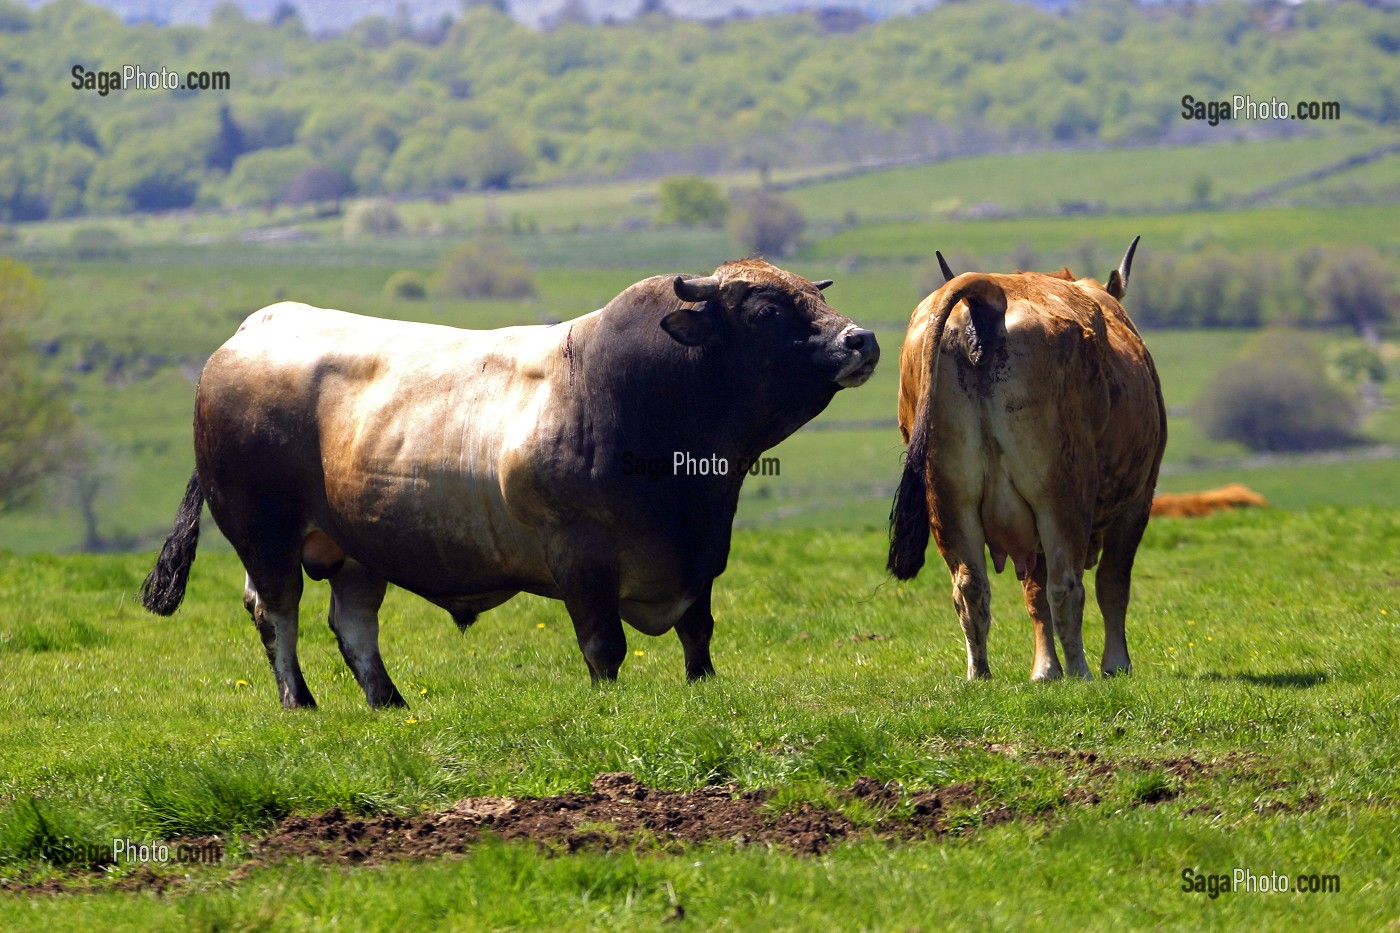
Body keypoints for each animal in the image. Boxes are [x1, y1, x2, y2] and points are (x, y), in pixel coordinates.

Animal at [139, 257, 873, 708]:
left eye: (817, 295)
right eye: (767, 309)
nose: (860, 339)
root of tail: (253, 328)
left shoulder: (702, 555)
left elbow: (699, 633)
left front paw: (703, 689)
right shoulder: (581, 556)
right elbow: (604, 645)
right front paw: (611, 707)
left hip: (357, 545)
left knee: (352, 622)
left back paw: (389, 702)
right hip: (262, 530)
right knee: (275, 608)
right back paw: (301, 703)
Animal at [890, 238, 1164, 675]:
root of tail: (987, 298)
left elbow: (1033, 594)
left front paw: (1044, 670)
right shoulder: (1138, 499)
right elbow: (1112, 583)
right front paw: (1115, 664)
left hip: (948, 497)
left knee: (970, 587)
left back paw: (980, 673)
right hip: (1060, 495)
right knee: (1066, 586)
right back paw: (1081, 671)